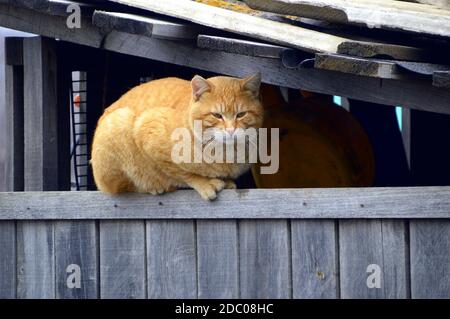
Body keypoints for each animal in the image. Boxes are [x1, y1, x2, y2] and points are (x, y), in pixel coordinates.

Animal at [89, 74, 262, 201]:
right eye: (217, 115)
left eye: (241, 114)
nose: (231, 130)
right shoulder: (149, 134)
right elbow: (182, 172)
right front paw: (205, 183)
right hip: (120, 121)